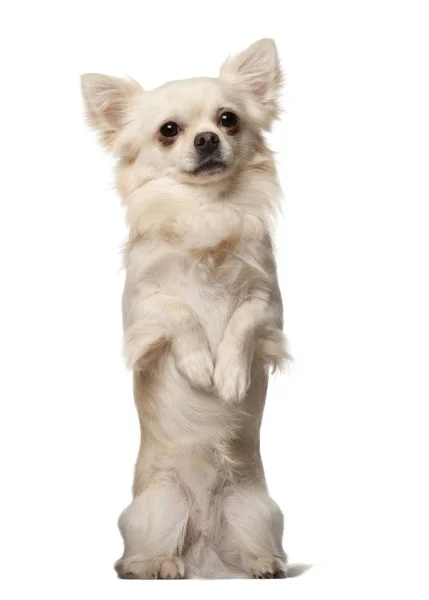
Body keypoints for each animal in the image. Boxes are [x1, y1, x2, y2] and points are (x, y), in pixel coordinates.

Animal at [81, 38, 288, 580]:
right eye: (169, 131)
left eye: (228, 119)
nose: (208, 139)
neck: (206, 212)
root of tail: (205, 552)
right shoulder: (141, 312)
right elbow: (180, 312)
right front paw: (199, 366)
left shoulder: (269, 306)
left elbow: (242, 321)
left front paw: (230, 376)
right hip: (156, 509)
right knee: (142, 554)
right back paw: (157, 565)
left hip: (259, 512)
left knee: (255, 546)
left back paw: (262, 564)